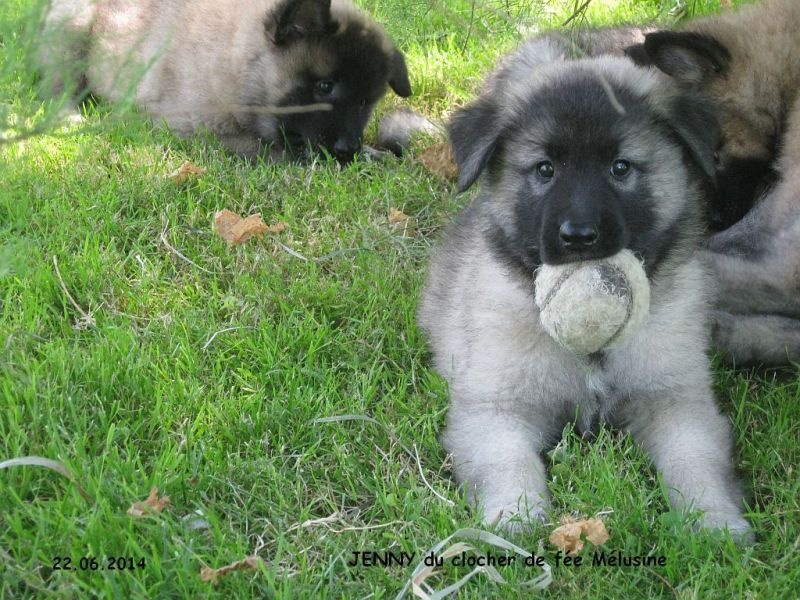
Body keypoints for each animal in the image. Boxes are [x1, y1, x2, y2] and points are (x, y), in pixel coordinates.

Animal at [36, 0, 412, 162]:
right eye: (324, 87)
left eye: (365, 102)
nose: (348, 149)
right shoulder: (193, 130)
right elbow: (276, 151)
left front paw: (373, 153)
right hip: (72, 33)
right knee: (57, 89)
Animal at [418, 38, 753, 540]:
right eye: (545, 169)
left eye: (620, 167)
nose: (579, 236)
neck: (593, 352)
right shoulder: (496, 407)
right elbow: (508, 461)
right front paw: (515, 516)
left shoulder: (678, 400)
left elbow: (695, 461)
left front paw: (715, 522)